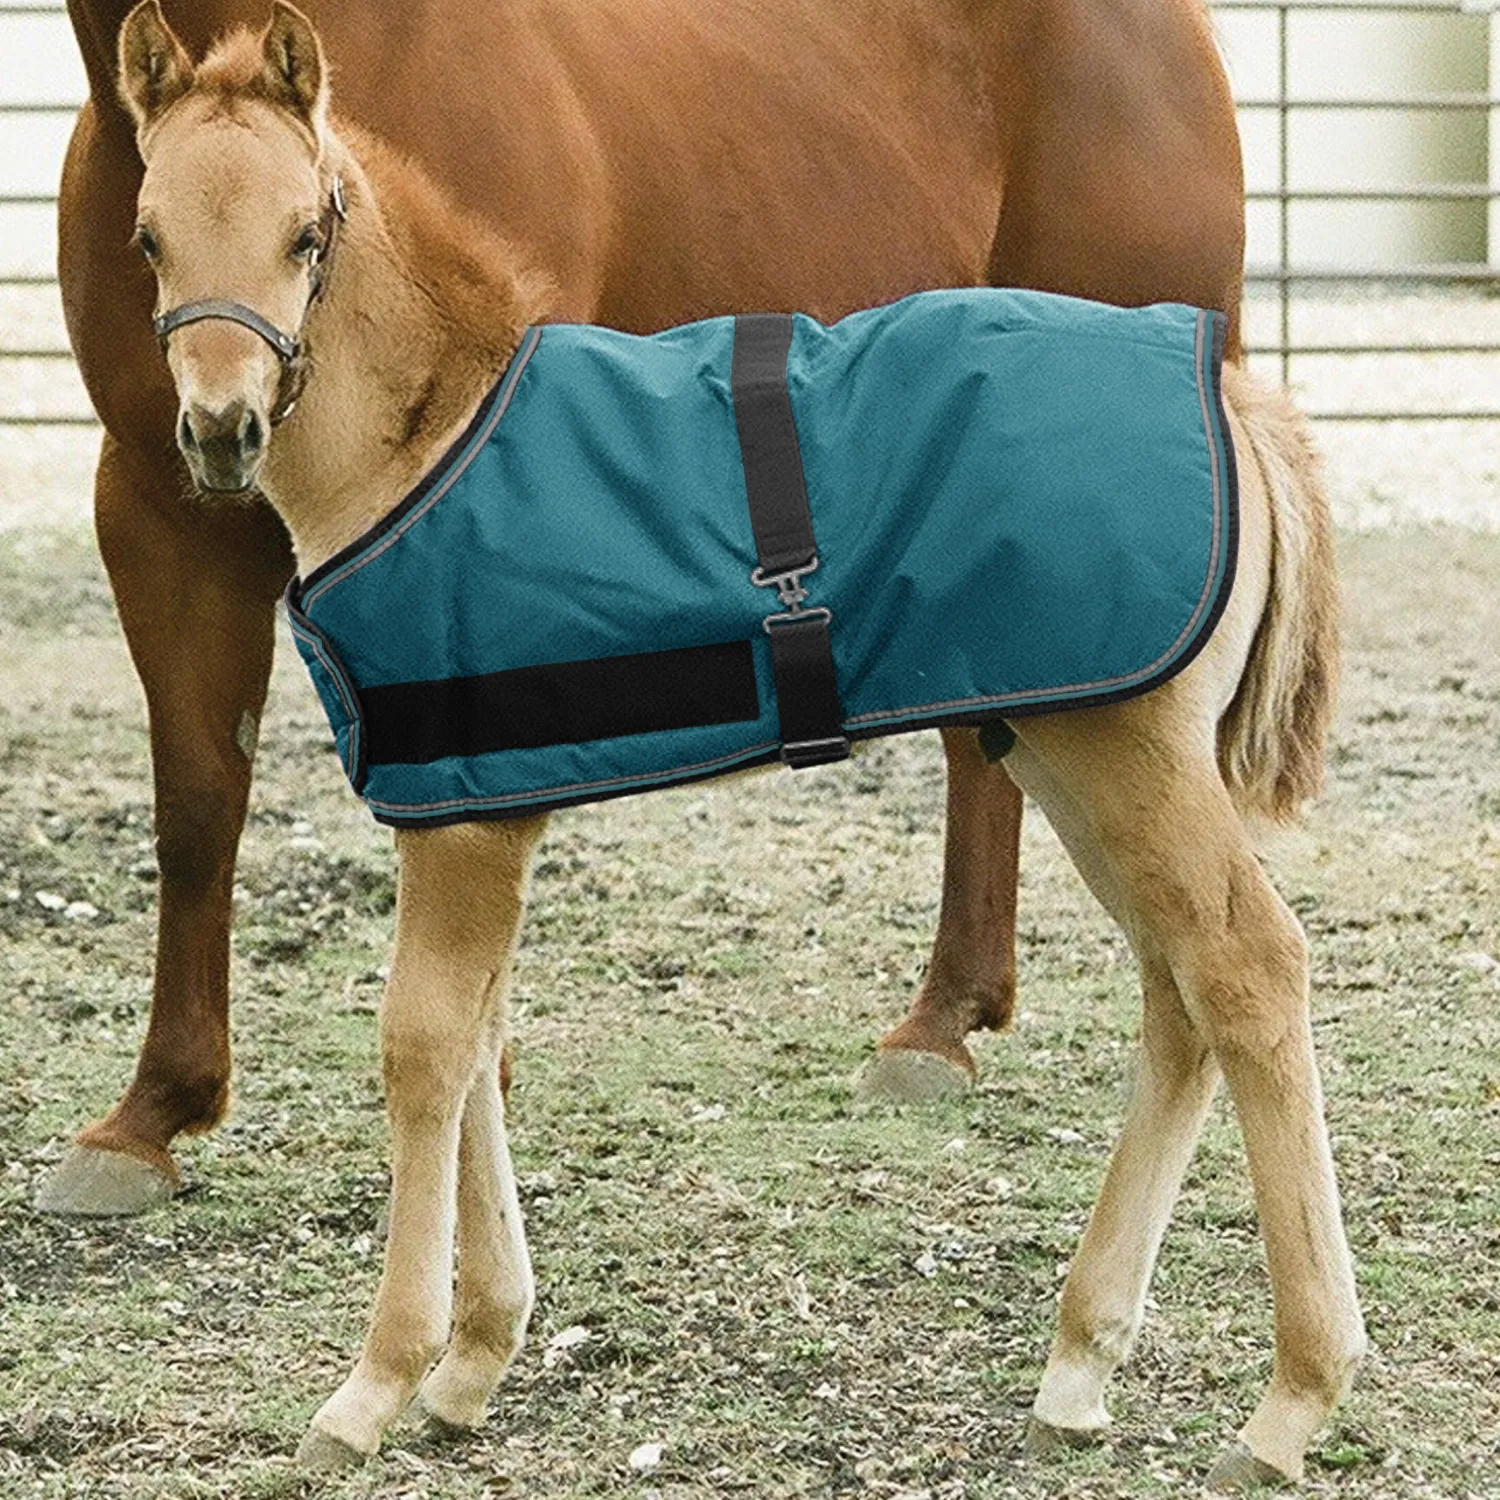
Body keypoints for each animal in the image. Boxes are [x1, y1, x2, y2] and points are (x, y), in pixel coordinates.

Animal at [117, 5, 1362, 1489]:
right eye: (147, 236)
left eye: (307, 233)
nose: (222, 431)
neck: (430, 440)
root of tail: (1234, 398)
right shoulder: (478, 807)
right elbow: (480, 1044)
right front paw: (476, 1360)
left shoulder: (465, 822)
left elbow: (424, 1049)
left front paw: (376, 1383)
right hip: (1072, 751)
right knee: (1180, 991)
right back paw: (1079, 1365)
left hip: (1132, 757)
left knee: (1248, 969)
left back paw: (1294, 1400)